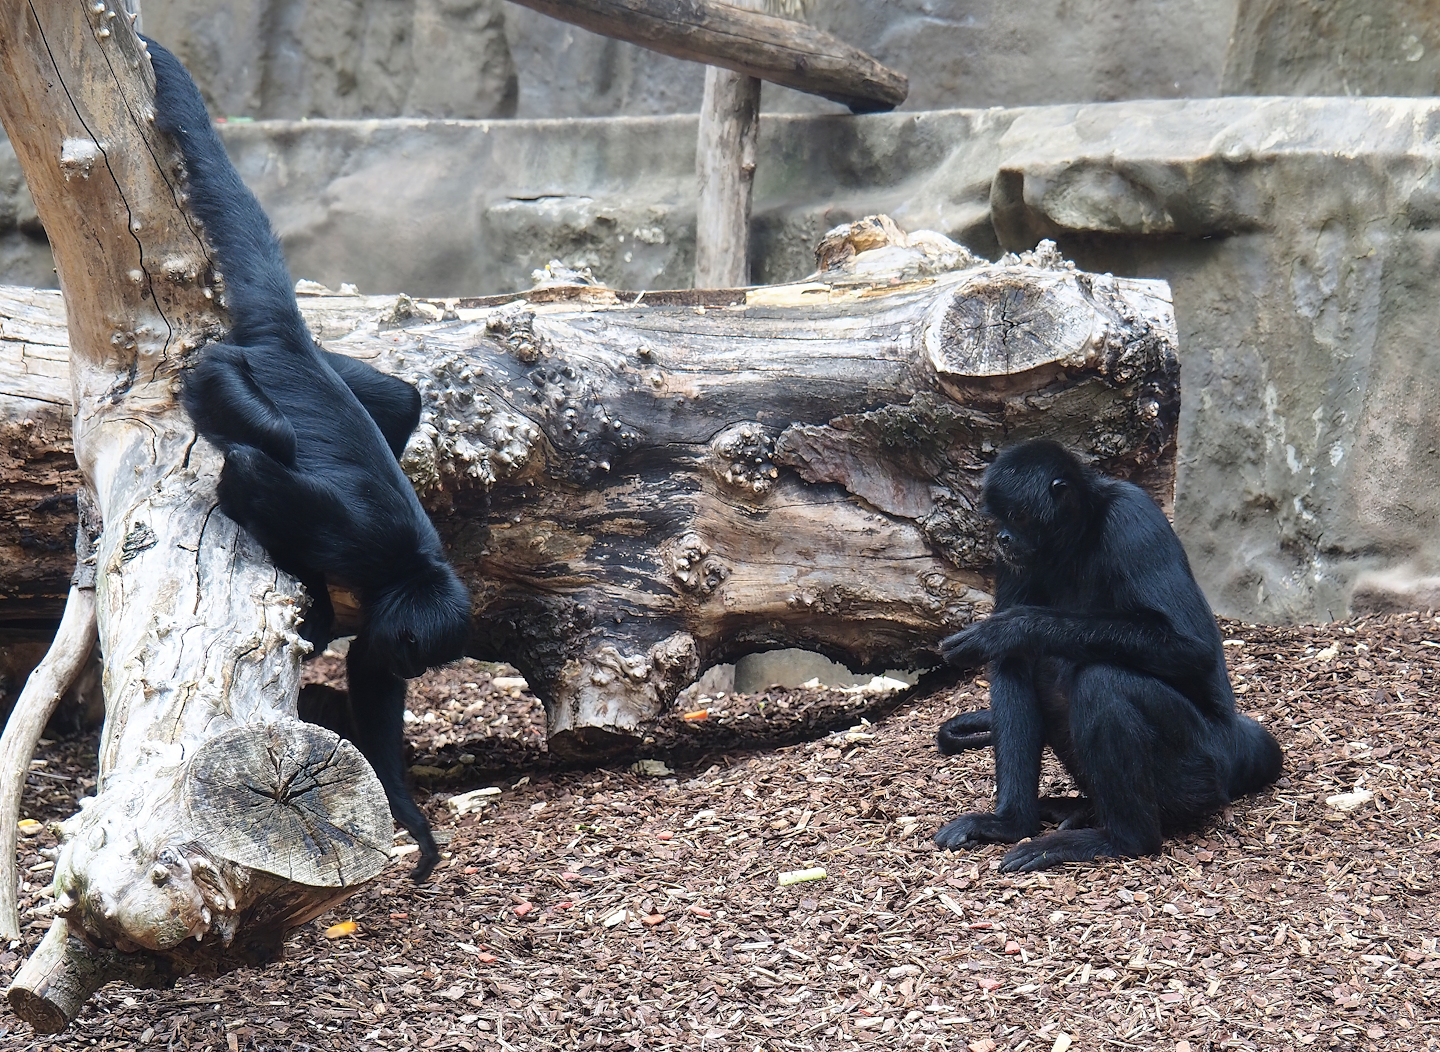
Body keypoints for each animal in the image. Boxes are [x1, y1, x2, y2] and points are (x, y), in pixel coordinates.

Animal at [147, 38, 468, 880]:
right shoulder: (359, 545)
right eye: (418, 654)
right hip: (217, 375)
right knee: (266, 446)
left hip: (340, 372)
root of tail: (288, 344)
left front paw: (409, 817)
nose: (416, 668)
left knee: (401, 400)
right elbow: (259, 478)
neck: (411, 563)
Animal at [933, 439, 1282, 871]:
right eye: (998, 518)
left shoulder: (1133, 519)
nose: (1002, 538)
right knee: (1029, 664)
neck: (1077, 542)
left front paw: (1010, 626)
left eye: (1017, 516)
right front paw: (1007, 825)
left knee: (1102, 680)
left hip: (1203, 758)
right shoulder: (1015, 563)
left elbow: (1192, 647)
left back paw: (1120, 840)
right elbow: (1009, 661)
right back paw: (1057, 814)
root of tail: (1234, 742)